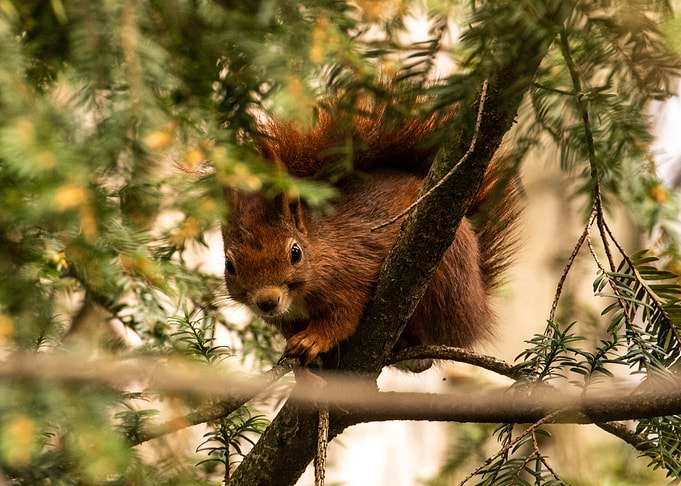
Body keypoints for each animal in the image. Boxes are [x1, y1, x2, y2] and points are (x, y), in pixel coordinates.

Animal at [221, 99, 521, 369]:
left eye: (295, 253)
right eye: (229, 265)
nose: (267, 302)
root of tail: (477, 306)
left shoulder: (351, 276)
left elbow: (343, 318)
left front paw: (313, 340)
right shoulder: (284, 319)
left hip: (444, 277)